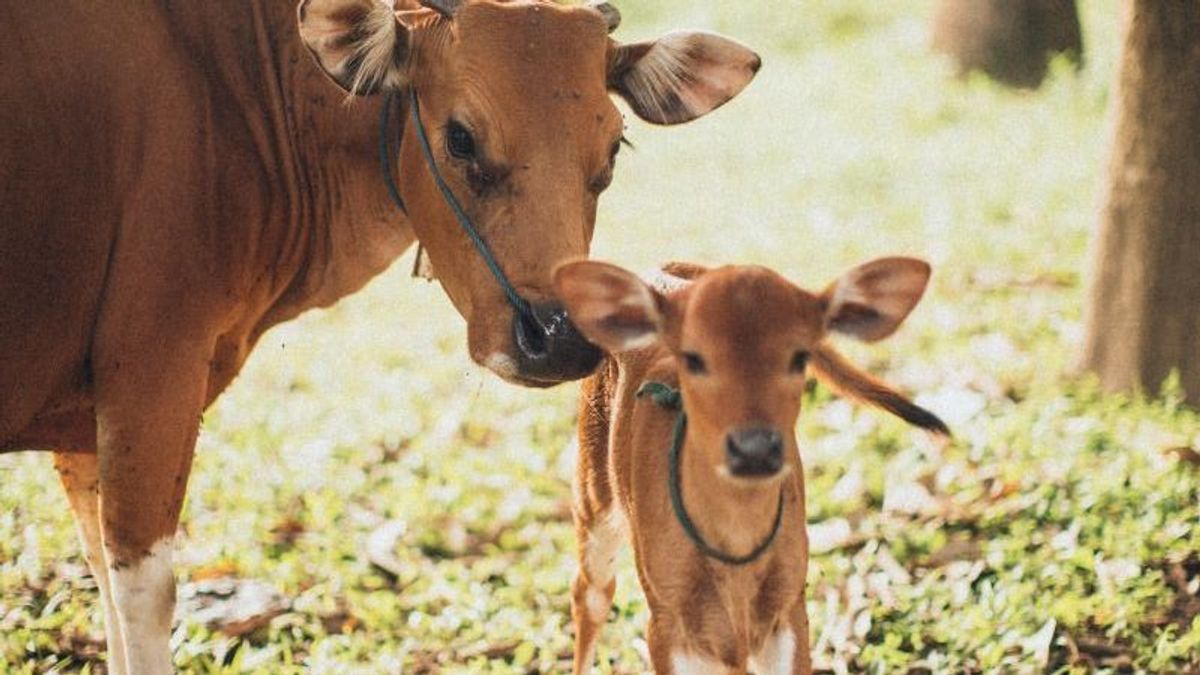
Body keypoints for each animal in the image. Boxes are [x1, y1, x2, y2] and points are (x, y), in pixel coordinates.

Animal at [0, 0, 758, 667]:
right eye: (461, 137)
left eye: (613, 146)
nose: (560, 337)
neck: (239, 85)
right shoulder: (153, 375)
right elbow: (145, 596)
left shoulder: (85, 422)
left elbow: (103, 579)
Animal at [549, 257, 945, 672]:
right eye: (693, 357)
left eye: (800, 356)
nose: (754, 449)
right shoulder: (666, 621)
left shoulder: (789, 605)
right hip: (592, 496)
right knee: (590, 593)